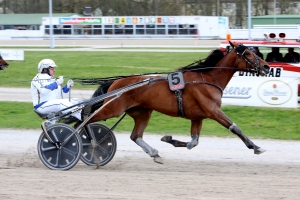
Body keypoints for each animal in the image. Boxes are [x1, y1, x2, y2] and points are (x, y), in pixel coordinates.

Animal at [81, 41, 270, 164]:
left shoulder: (197, 117)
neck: (208, 78)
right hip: (113, 109)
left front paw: (168, 139)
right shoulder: (213, 110)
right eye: (248, 53)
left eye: (254, 52)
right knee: (85, 118)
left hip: (142, 112)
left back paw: (154, 153)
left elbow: (193, 142)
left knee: (135, 136)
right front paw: (255, 146)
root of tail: (116, 82)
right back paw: (86, 139)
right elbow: (234, 127)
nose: (267, 67)